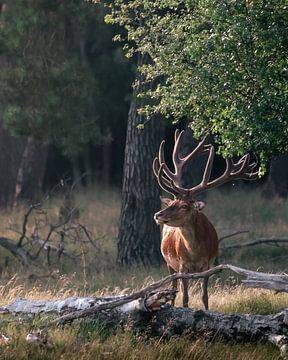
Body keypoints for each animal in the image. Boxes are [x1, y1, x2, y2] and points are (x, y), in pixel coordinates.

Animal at [153, 130, 258, 310]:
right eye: (172, 202)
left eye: (184, 206)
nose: (158, 215)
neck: (195, 253)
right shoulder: (182, 266)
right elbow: (185, 297)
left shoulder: (208, 265)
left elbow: (204, 296)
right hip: (168, 263)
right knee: (172, 287)